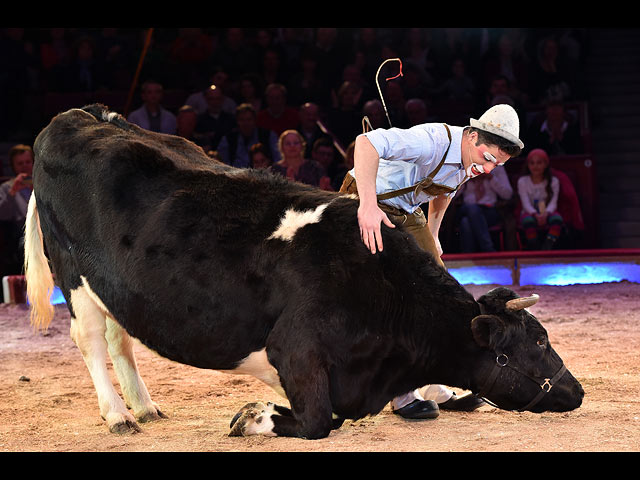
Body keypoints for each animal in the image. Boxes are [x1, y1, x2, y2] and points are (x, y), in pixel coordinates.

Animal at [25, 104, 584, 438]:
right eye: (535, 343)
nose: (577, 390)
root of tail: (84, 114)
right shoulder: (295, 349)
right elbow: (317, 421)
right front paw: (252, 415)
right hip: (74, 278)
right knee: (91, 339)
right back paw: (119, 416)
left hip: (112, 286)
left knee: (119, 337)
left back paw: (143, 407)